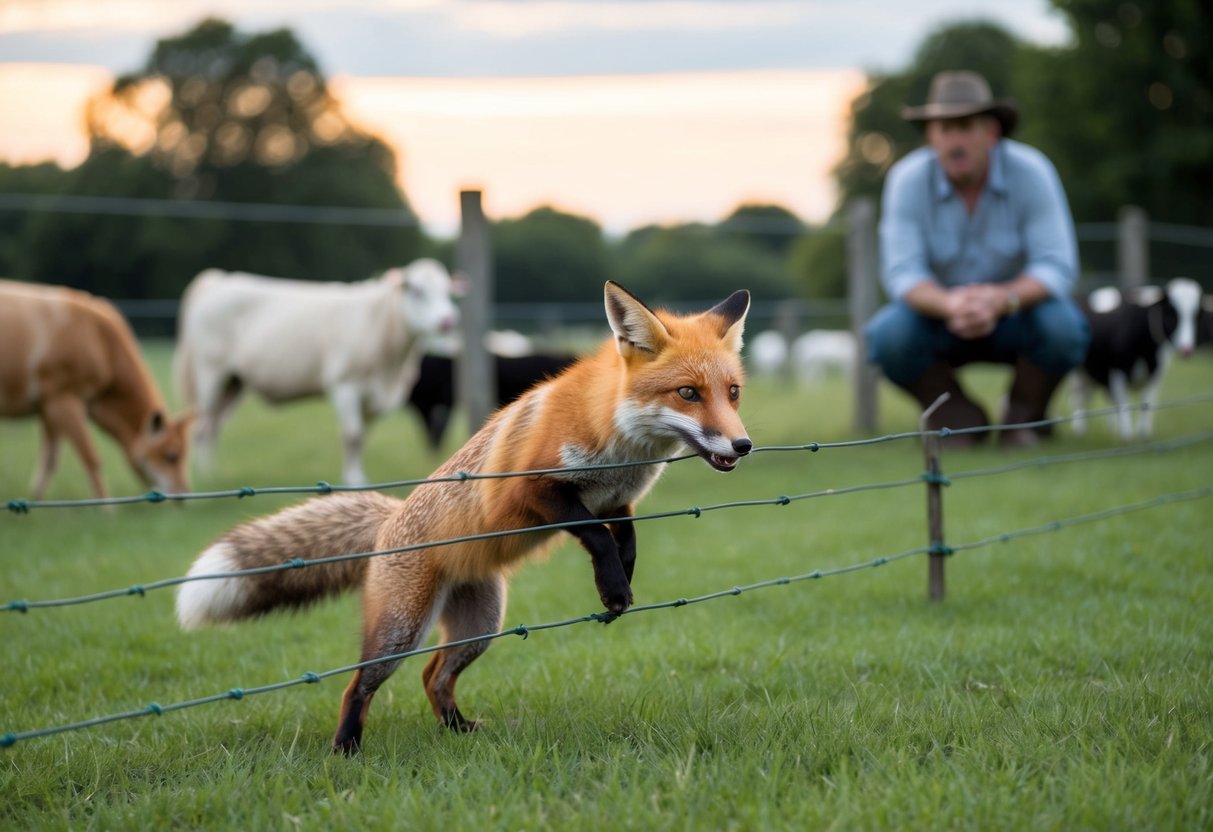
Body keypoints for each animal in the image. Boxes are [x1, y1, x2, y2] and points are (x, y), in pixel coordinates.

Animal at [176, 281, 752, 754]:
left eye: (733, 393)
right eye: (687, 393)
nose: (743, 446)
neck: (622, 446)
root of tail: (389, 521)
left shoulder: (616, 501)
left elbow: (625, 539)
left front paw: (620, 585)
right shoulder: (531, 491)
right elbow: (597, 536)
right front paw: (613, 588)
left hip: (480, 627)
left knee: (434, 676)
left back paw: (457, 731)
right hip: (401, 632)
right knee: (358, 684)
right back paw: (346, 748)